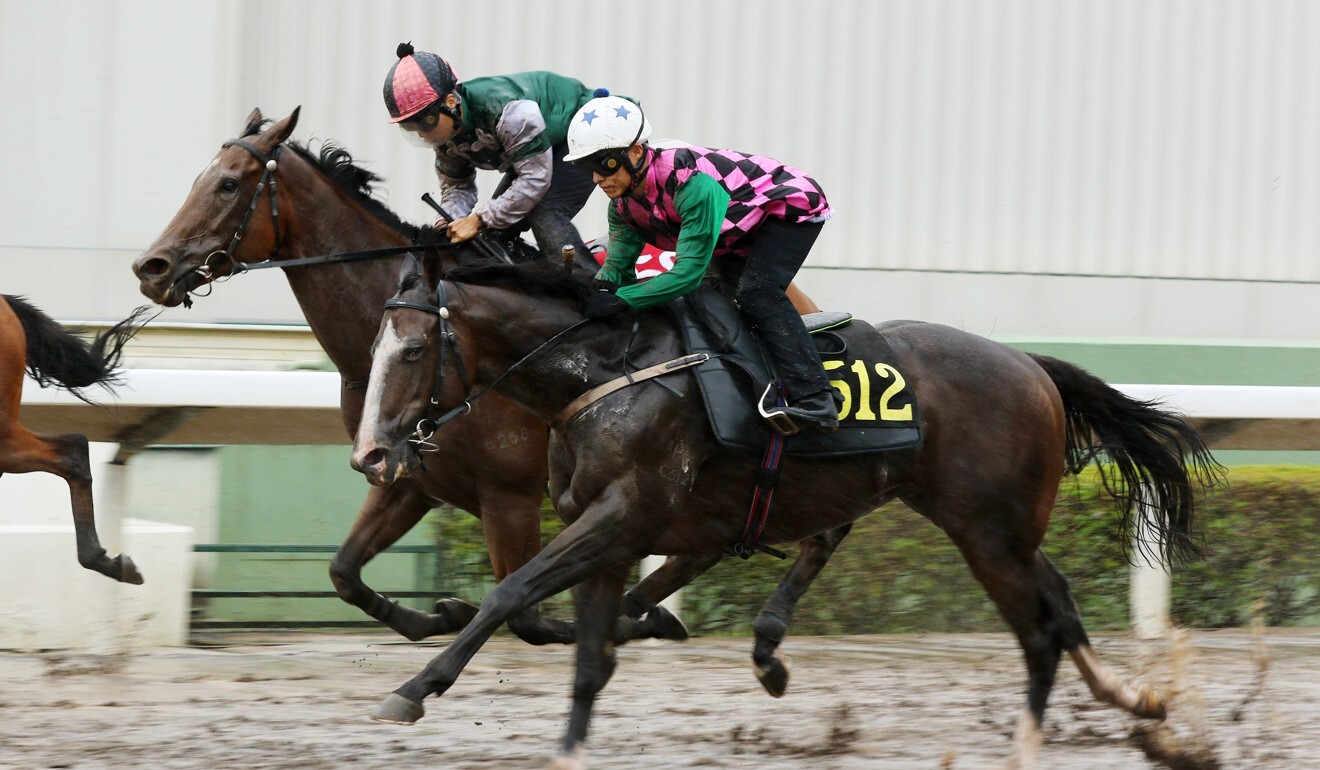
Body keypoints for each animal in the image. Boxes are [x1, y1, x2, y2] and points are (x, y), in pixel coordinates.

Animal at [128, 105, 828, 655]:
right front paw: (441, 612)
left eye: (227, 184)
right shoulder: (408, 475)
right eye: (200, 179)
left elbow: (527, 613)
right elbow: (344, 572)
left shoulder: (509, 494)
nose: (150, 266)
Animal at [353, 260, 1224, 770]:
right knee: (1059, 602)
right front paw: (570, 743)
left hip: (985, 529)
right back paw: (1136, 702)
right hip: (992, 523)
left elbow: (512, 593)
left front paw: (415, 688)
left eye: (410, 351)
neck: (602, 371)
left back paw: (1027, 744)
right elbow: (589, 656)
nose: (370, 453)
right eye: (371, 349)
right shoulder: (613, 527)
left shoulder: (625, 510)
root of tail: (1030, 365)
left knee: (1037, 633)